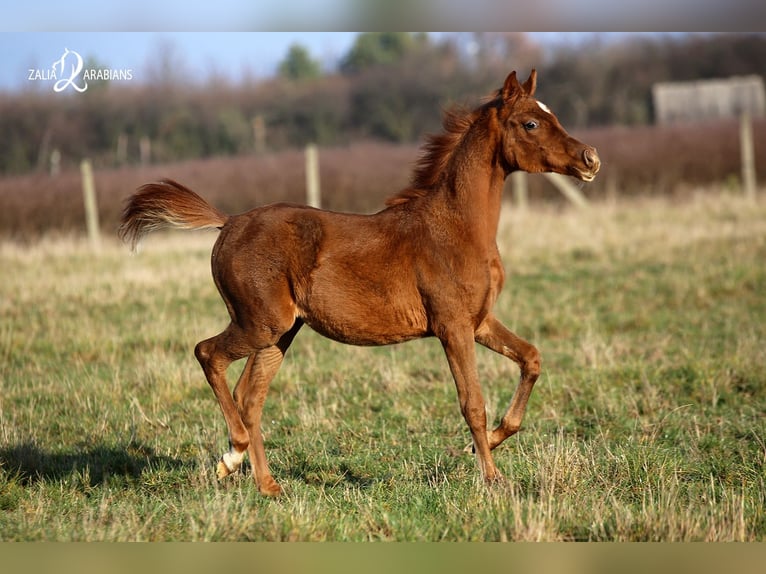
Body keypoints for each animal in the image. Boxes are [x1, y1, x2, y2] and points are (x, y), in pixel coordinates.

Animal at [118, 70, 600, 498]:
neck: (456, 228)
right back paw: (232, 456)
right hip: (261, 323)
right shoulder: (452, 326)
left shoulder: (479, 321)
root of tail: (228, 222)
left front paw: (493, 440)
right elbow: (472, 403)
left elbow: (531, 358)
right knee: (208, 355)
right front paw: (493, 479)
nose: (590, 159)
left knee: (249, 396)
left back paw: (265, 484)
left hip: (280, 332)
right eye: (531, 122)